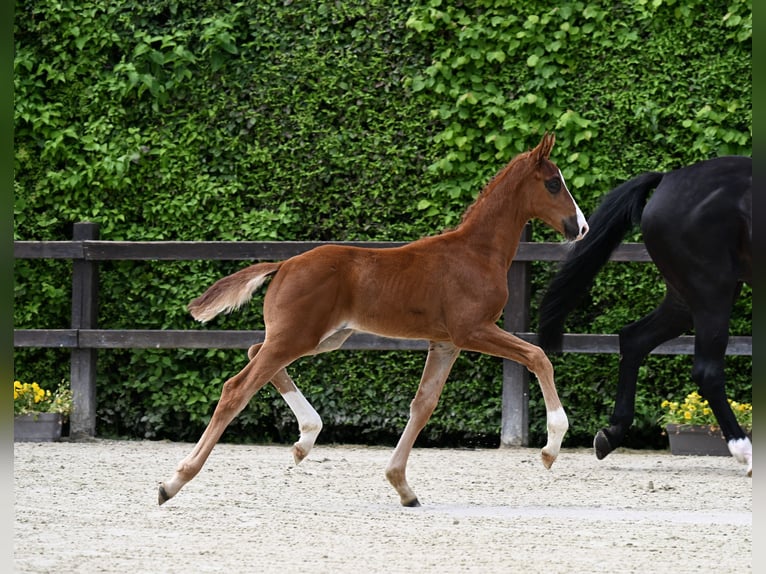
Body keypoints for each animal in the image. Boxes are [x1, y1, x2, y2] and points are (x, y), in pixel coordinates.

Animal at [154, 132, 588, 508]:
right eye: (553, 183)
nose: (580, 227)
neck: (476, 253)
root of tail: (284, 265)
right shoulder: (473, 330)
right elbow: (537, 356)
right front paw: (551, 447)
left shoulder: (445, 342)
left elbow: (423, 404)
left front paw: (403, 486)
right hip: (297, 336)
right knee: (236, 388)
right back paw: (172, 482)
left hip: (319, 338)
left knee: (254, 350)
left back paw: (306, 437)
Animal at [540, 156, 756, 476]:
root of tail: (668, 179)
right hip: (712, 291)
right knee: (707, 371)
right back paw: (745, 453)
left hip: (685, 299)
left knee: (634, 339)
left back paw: (610, 434)